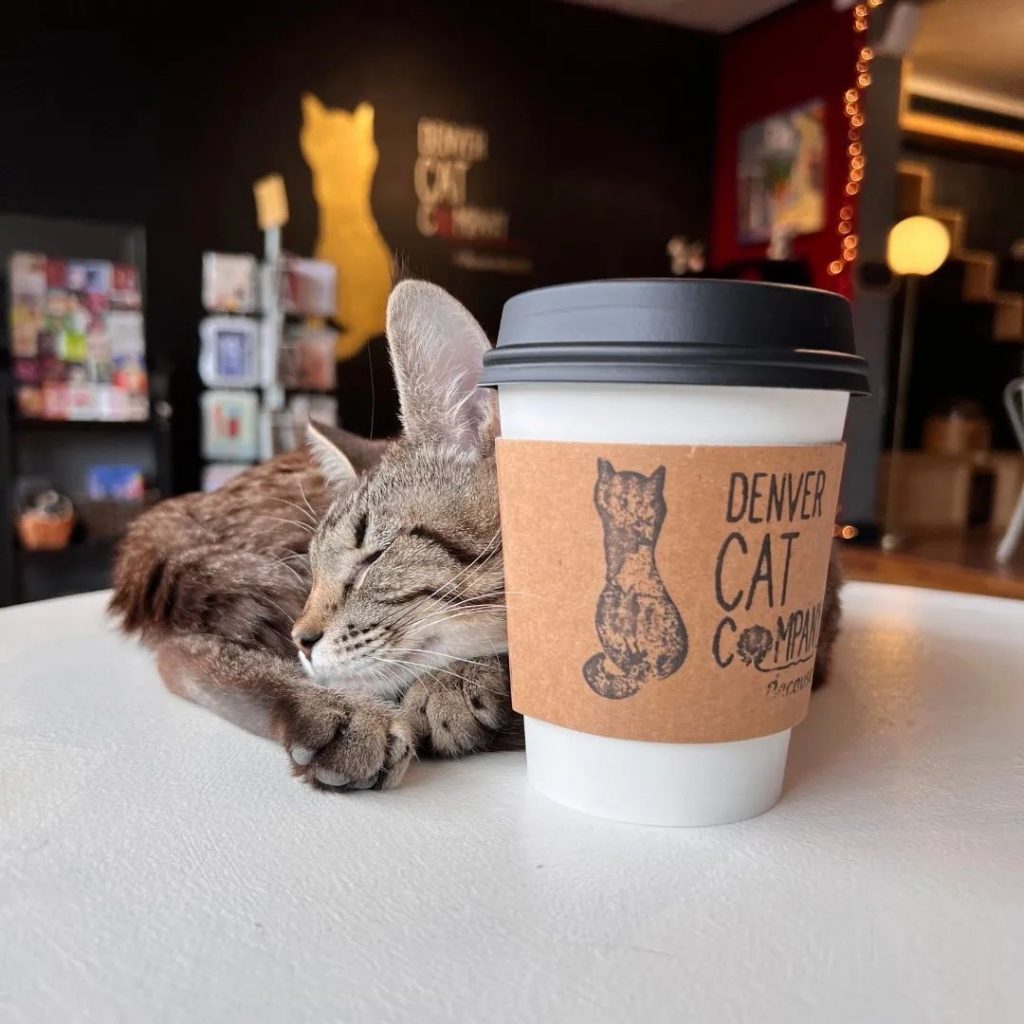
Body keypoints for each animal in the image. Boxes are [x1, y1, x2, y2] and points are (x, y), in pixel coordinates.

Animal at [112, 278, 843, 790]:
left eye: (372, 557)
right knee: (182, 652)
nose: (303, 638)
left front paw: (461, 686)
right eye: (318, 569)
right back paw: (336, 713)